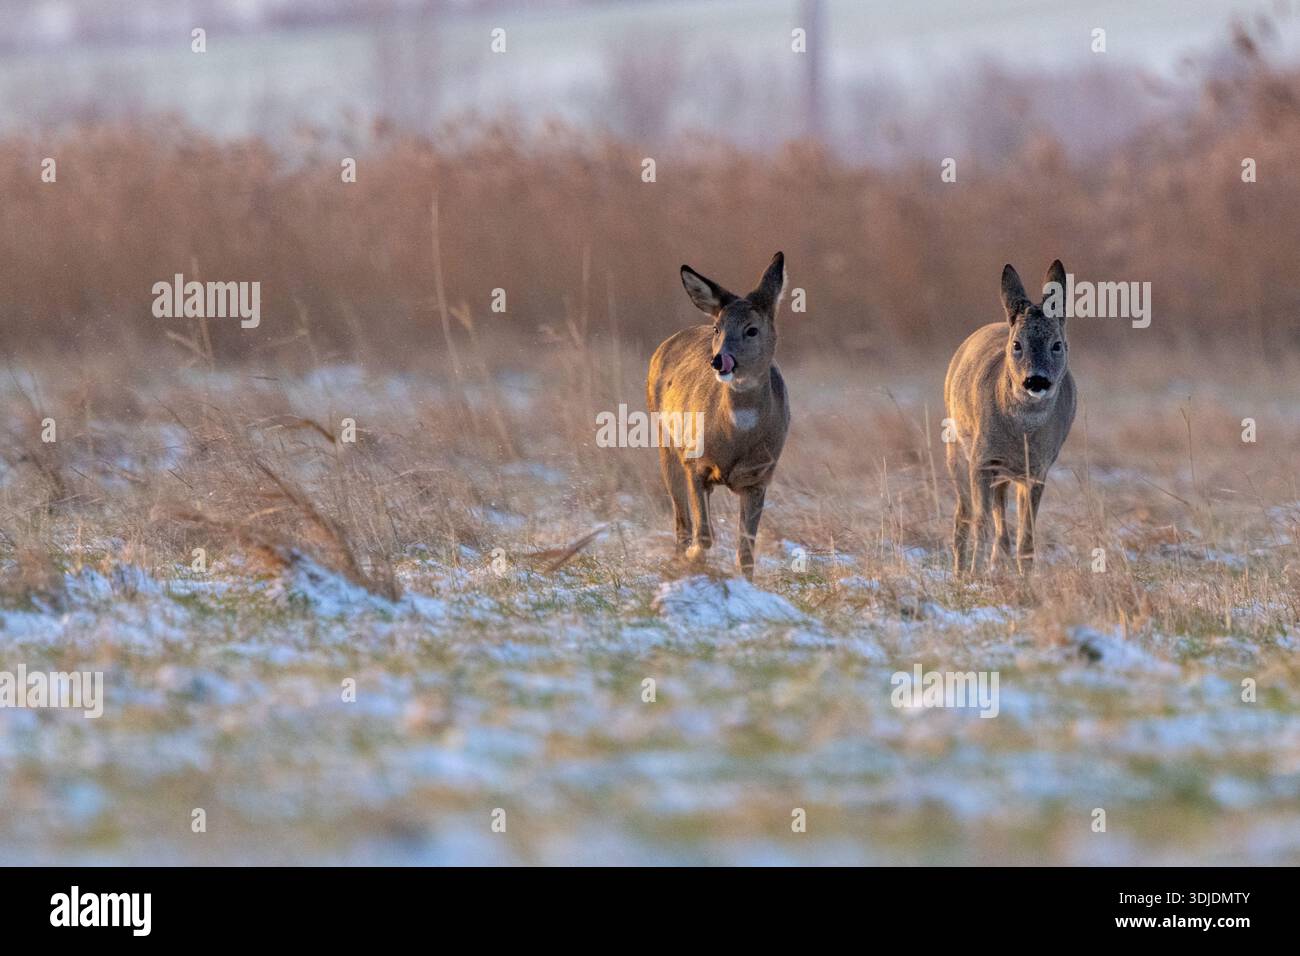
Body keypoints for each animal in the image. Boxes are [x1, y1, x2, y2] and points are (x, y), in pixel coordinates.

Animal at [646, 252, 789, 581]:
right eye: (717, 329)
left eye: (752, 329)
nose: (719, 361)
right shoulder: (695, 462)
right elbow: (705, 534)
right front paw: (693, 560)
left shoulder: (759, 477)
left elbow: (746, 550)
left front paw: (747, 585)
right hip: (665, 441)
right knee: (682, 522)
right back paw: (679, 559)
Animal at [945, 260, 1077, 575]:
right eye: (1017, 344)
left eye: (1057, 344)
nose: (1036, 380)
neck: (1022, 432)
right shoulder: (983, 459)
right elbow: (981, 524)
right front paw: (974, 574)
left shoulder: (1038, 469)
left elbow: (1026, 537)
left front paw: (1024, 576)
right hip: (957, 451)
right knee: (963, 517)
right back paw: (959, 572)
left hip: (1008, 475)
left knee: (1001, 526)